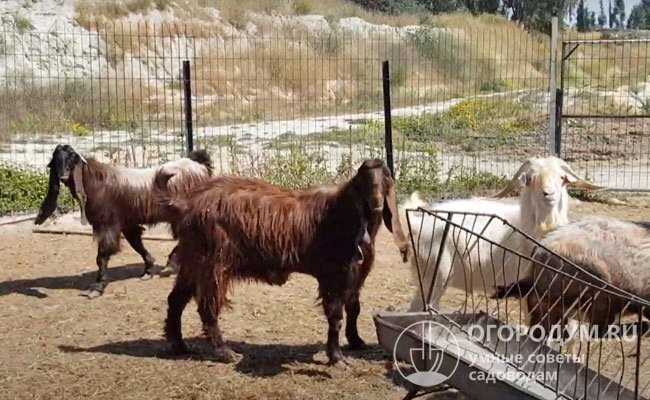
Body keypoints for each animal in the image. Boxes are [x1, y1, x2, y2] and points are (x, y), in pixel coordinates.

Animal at [34, 145, 210, 298]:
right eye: (56, 159)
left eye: (71, 158)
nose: (63, 176)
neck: (96, 182)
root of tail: (198, 165)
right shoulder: (127, 223)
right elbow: (137, 244)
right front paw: (148, 270)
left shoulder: (108, 225)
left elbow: (102, 256)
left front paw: (97, 287)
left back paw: (171, 264)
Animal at [155, 158, 408, 364]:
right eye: (364, 179)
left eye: (385, 176)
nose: (376, 203)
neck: (343, 214)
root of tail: (186, 204)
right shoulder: (333, 274)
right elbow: (335, 314)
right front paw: (336, 357)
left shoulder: (355, 276)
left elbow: (354, 307)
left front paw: (356, 342)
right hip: (213, 264)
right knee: (207, 308)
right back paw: (225, 352)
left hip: (192, 261)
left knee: (175, 300)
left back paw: (179, 345)